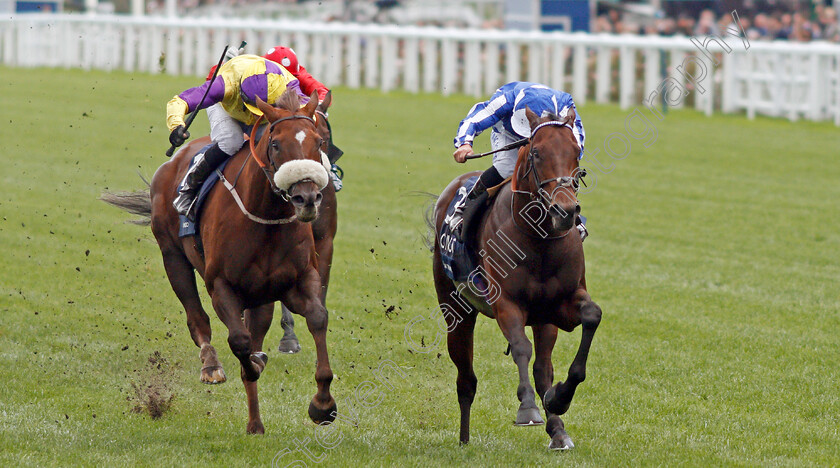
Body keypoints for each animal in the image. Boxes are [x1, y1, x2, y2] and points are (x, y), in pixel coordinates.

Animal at [105, 89, 338, 434]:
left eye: (318, 142)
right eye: (275, 144)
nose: (307, 198)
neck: (265, 218)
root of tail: (172, 162)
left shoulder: (299, 279)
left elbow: (318, 317)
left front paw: (323, 404)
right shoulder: (221, 285)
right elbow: (240, 342)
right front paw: (248, 364)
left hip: (260, 293)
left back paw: (255, 423)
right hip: (173, 257)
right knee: (197, 318)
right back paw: (212, 365)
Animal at [434, 107, 604, 450]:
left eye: (575, 152)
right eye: (537, 152)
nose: (565, 211)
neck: (538, 239)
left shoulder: (561, 306)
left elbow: (592, 316)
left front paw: (560, 399)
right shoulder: (506, 304)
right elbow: (521, 347)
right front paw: (527, 408)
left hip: (544, 320)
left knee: (543, 368)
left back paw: (557, 428)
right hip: (455, 310)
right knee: (466, 378)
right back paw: (464, 438)